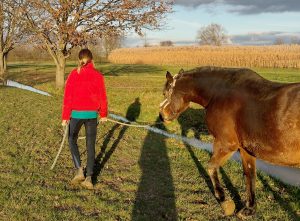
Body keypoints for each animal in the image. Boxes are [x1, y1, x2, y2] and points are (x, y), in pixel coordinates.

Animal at [158, 66, 300, 218]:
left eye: (165, 93)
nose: (161, 115)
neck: (219, 93)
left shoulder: (226, 144)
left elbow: (211, 166)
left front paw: (224, 201)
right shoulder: (245, 149)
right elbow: (249, 175)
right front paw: (249, 209)